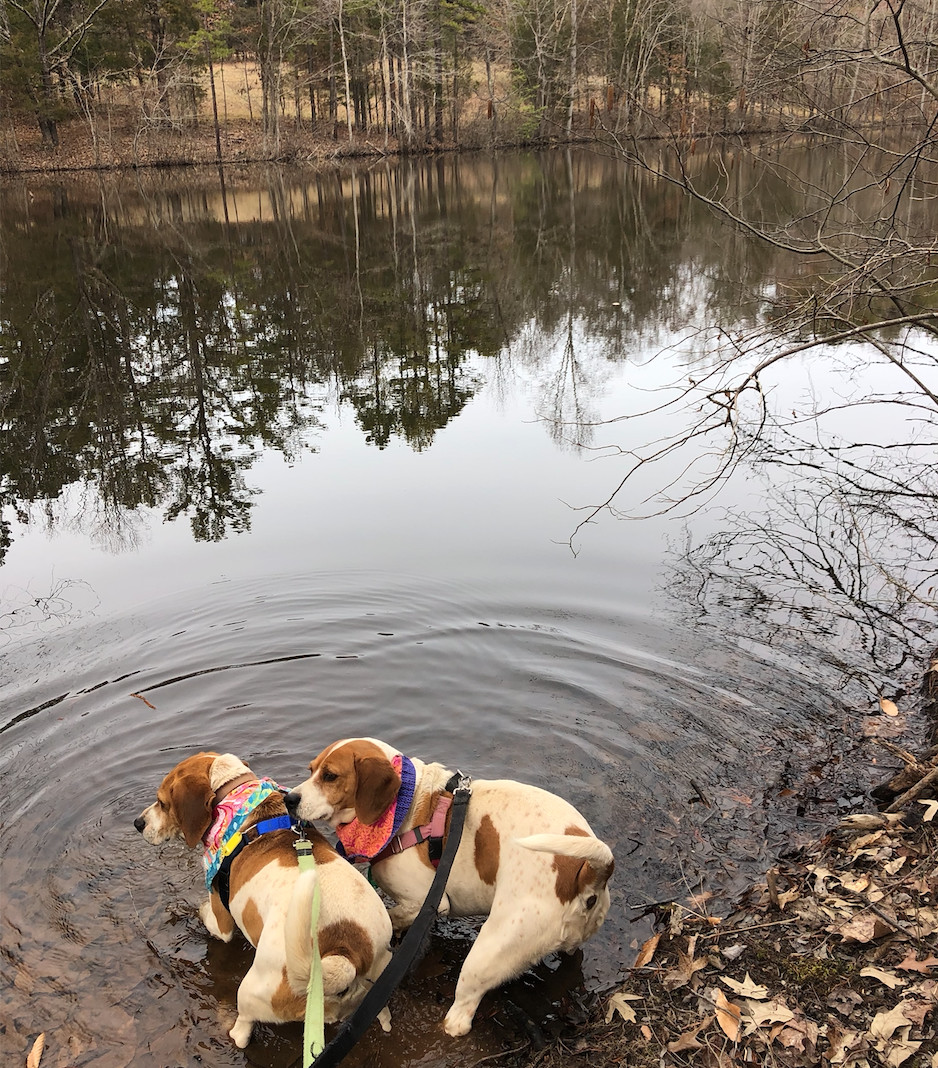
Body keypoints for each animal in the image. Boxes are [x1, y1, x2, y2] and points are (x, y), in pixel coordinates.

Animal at [135, 756, 393, 1046]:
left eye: (162, 803)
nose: (137, 823)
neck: (235, 794)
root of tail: (346, 951)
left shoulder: (222, 922)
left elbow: (212, 919)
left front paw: (200, 907)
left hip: (251, 991)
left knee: (242, 1032)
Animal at [282, 739, 615, 1038]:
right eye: (311, 769)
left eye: (330, 776)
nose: (290, 799)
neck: (406, 807)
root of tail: (588, 871)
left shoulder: (426, 903)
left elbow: (393, 917)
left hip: (489, 952)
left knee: (462, 1014)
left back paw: (450, 1023)